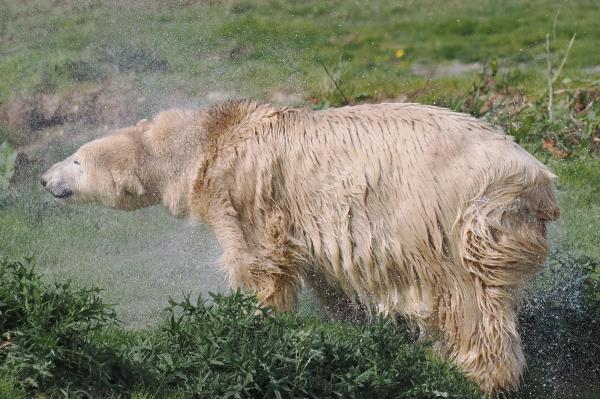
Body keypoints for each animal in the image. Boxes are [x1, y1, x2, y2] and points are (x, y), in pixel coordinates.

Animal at [41, 101, 556, 396]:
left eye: (75, 160)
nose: (45, 179)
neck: (213, 137)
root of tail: (535, 181)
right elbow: (325, 274)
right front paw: (350, 322)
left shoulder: (244, 192)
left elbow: (258, 263)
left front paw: (249, 322)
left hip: (450, 213)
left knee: (467, 296)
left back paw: (480, 373)